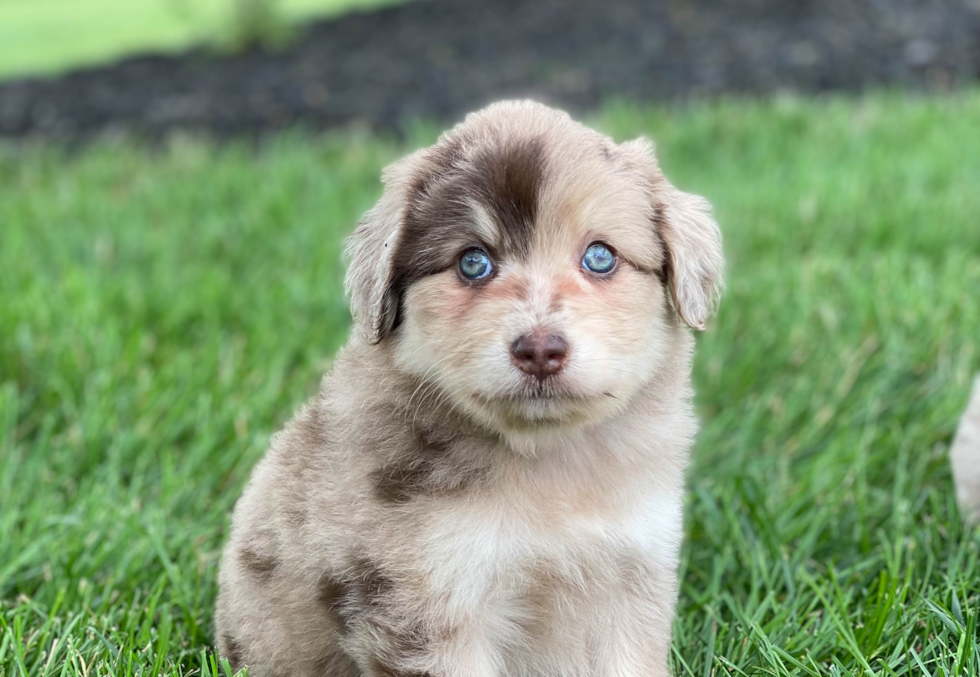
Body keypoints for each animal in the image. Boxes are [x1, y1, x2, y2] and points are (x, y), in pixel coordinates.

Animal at [220, 100, 728, 676]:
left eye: (600, 257)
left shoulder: (629, 572)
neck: (545, 464)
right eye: (473, 262)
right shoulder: (425, 597)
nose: (539, 350)